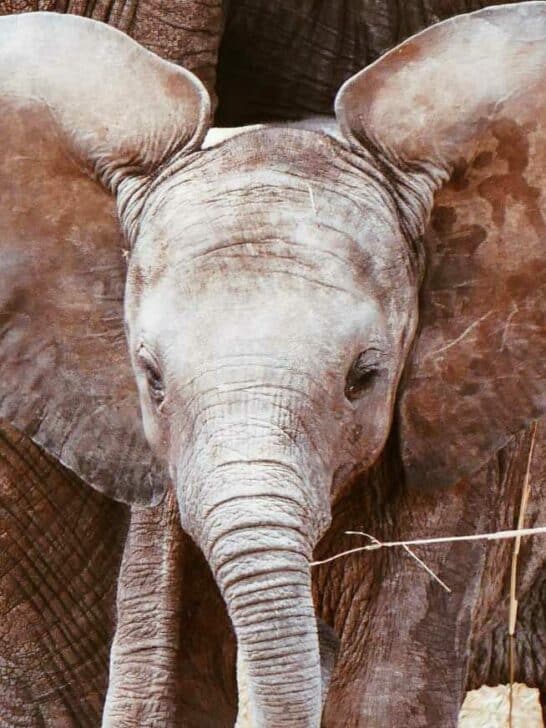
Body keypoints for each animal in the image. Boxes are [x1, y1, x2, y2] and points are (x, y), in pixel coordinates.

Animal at [0, 4, 545, 727]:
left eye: (363, 379)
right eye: (152, 381)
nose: (323, 635)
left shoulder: (461, 435)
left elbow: (385, 694)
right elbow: (152, 690)